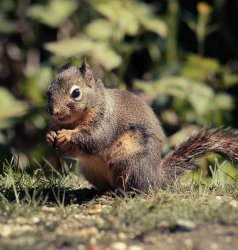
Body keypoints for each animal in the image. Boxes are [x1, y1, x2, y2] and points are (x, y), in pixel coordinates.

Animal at [45, 61, 238, 192]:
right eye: (49, 90)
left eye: (76, 93)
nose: (53, 110)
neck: (74, 121)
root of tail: (154, 178)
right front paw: (50, 135)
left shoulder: (106, 121)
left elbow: (95, 138)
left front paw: (68, 135)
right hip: (90, 170)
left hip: (131, 164)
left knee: (135, 187)